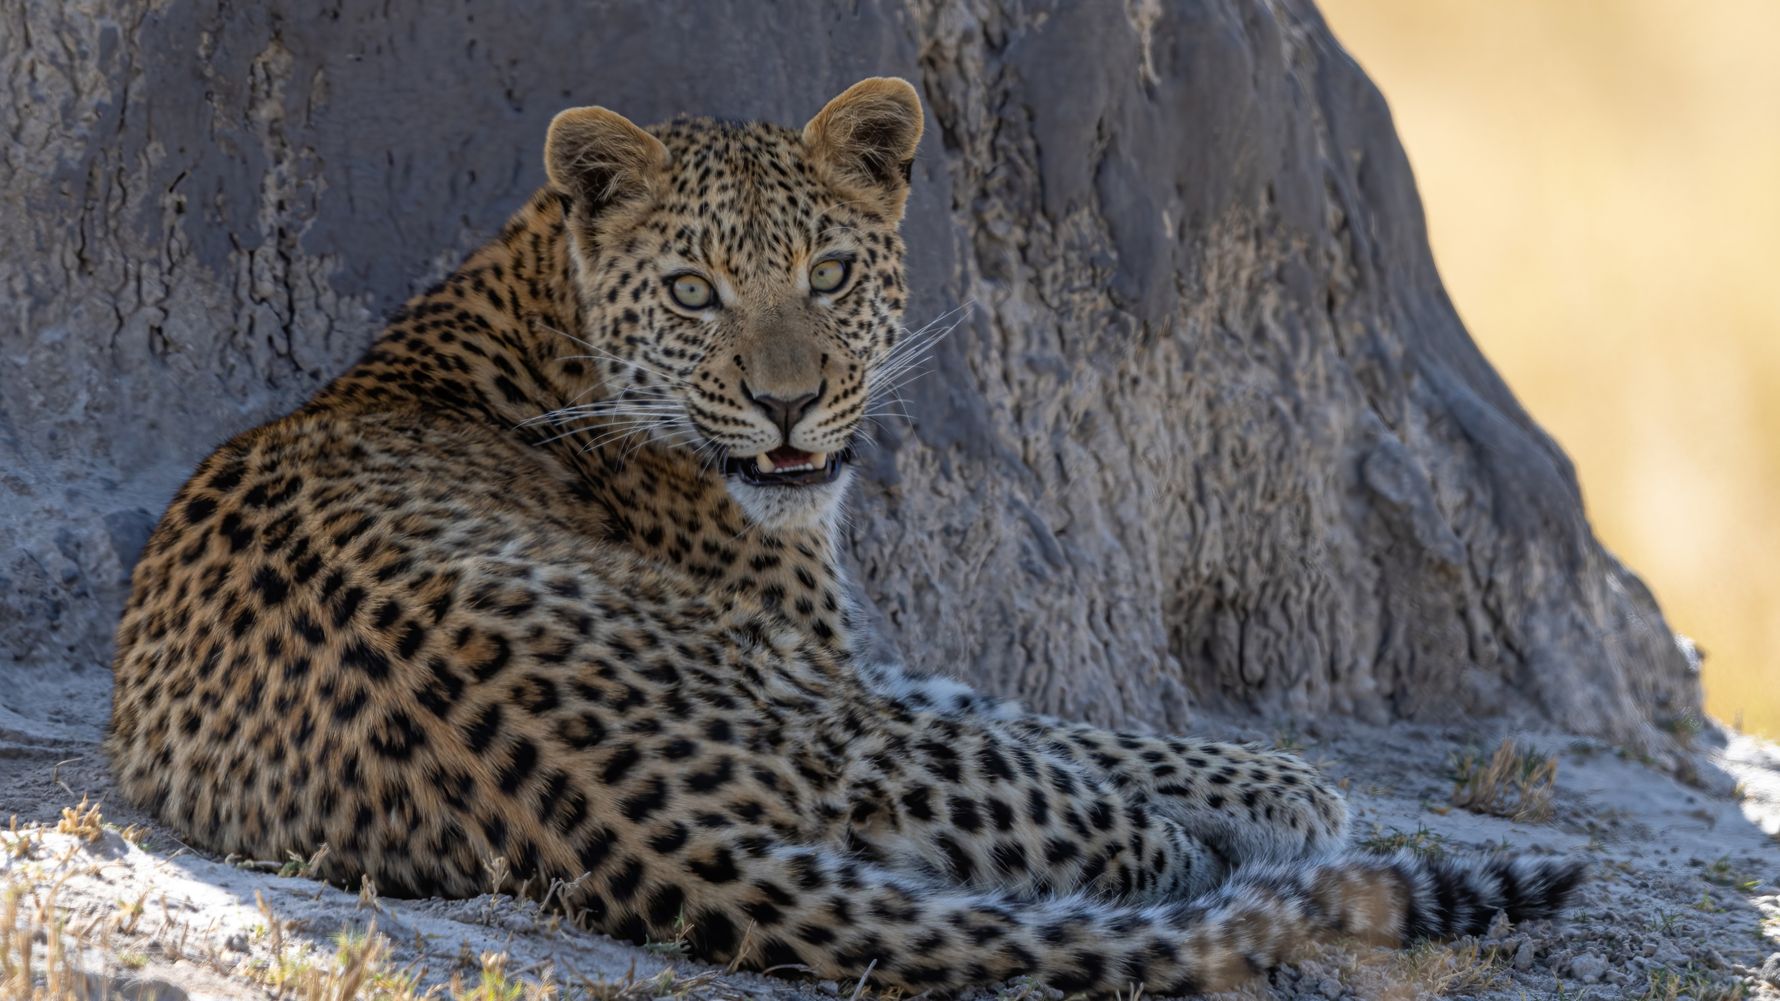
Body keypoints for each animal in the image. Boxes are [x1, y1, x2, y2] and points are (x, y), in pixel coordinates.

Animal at [107, 77, 1582, 995]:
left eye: (830, 273)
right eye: (694, 291)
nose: (785, 402)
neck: (539, 296)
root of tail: (609, 804)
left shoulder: (851, 647)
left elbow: (1036, 698)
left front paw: (1270, 773)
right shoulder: (826, 658)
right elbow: (1077, 729)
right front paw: (1289, 785)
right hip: (837, 731)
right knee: (1130, 854)